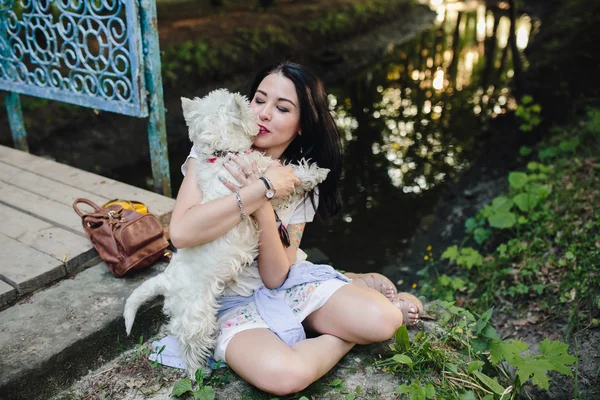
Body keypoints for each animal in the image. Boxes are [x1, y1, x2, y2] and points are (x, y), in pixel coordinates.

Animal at [122, 88, 328, 376]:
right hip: (196, 313)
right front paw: (315, 174)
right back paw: (199, 372)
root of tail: (166, 280)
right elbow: (286, 175)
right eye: (252, 102)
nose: (260, 116)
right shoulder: (260, 182)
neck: (223, 154)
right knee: (189, 343)